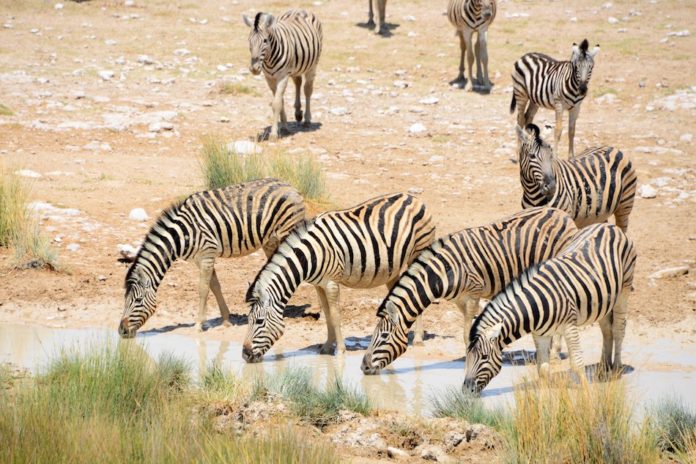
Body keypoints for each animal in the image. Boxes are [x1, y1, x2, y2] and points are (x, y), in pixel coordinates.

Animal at [118, 179, 305, 338]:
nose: (121, 331)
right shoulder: (201, 259)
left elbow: (203, 289)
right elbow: (215, 286)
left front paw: (198, 325)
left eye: (138, 300)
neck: (181, 235)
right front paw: (226, 320)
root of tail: (289, 185)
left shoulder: (207, 254)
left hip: (286, 232)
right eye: (124, 299)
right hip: (269, 241)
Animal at [242, 10, 322, 140]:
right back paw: (298, 113)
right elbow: (281, 101)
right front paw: (284, 127)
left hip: (313, 65)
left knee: (307, 90)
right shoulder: (269, 78)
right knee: (298, 82)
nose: (254, 69)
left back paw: (306, 119)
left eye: (265, 41)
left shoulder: (283, 76)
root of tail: (299, 10)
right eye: (249, 41)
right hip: (295, 67)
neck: (268, 59)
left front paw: (274, 134)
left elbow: (276, 103)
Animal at [242, 193, 436, 363]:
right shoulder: (318, 285)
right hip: (392, 268)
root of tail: (413, 197)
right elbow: (327, 315)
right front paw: (327, 347)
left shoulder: (331, 283)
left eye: (259, 321)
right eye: (248, 320)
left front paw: (340, 350)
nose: (245, 354)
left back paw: (418, 338)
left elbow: (335, 316)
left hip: (418, 251)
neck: (308, 256)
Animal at [361, 207, 578, 375]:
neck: (443, 272)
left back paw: (555, 353)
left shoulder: (474, 293)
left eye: (384, 336)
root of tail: (562, 214)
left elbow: (467, 334)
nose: (363, 367)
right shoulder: (460, 299)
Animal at [464, 223, 636, 394]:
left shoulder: (569, 326)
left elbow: (577, 363)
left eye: (484, 357)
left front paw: (587, 394)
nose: (466, 390)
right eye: (467, 356)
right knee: (607, 330)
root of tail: (609, 226)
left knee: (618, 329)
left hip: (624, 289)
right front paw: (544, 398)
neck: (535, 306)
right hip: (604, 302)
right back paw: (603, 367)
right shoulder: (540, 334)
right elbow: (543, 369)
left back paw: (616, 368)